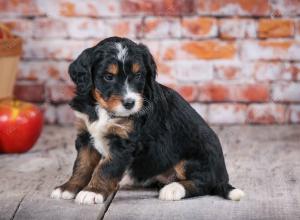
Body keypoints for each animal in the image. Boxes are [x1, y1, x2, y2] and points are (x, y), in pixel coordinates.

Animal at [50, 37, 245, 205]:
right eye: (108, 76)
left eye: (138, 75)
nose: (130, 103)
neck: (103, 110)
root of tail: (223, 176)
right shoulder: (86, 135)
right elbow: (81, 165)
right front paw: (68, 188)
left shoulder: (123, 143)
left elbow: (106, 168)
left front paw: (93, 191)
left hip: (193, 159)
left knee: (203, 183)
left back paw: (173, 189)